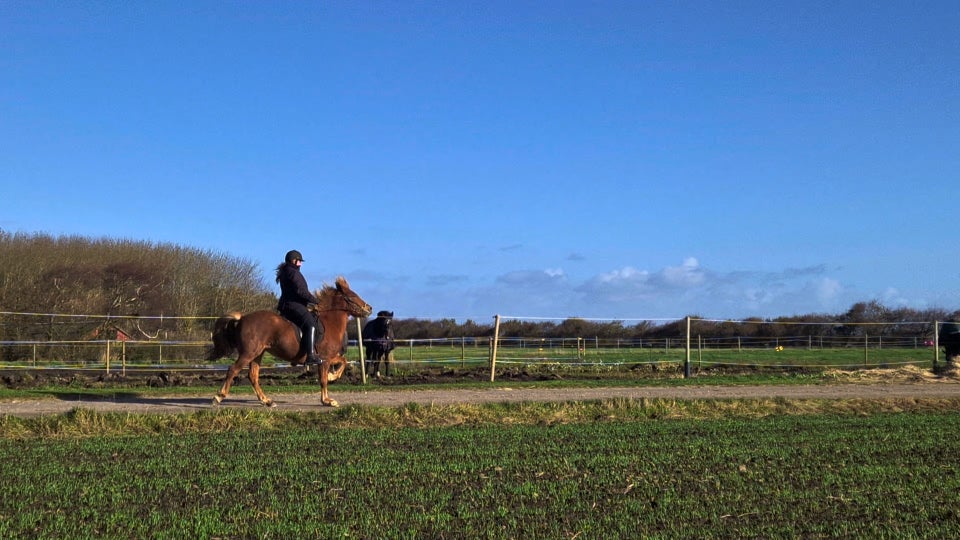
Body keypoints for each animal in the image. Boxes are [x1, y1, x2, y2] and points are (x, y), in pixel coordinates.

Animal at [206, 276, 372, 408]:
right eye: (352, 296)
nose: (369, 308)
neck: (330, 322)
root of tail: (242, 318)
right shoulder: (324, 359)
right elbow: (324, 380)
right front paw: (327, 400)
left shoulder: (329, 358)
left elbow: (343, 361)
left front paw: (332, 378)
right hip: (249, 353)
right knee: (233, 370)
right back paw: (218, 397)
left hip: (258, 353)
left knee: (253, 376)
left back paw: (267, 401)